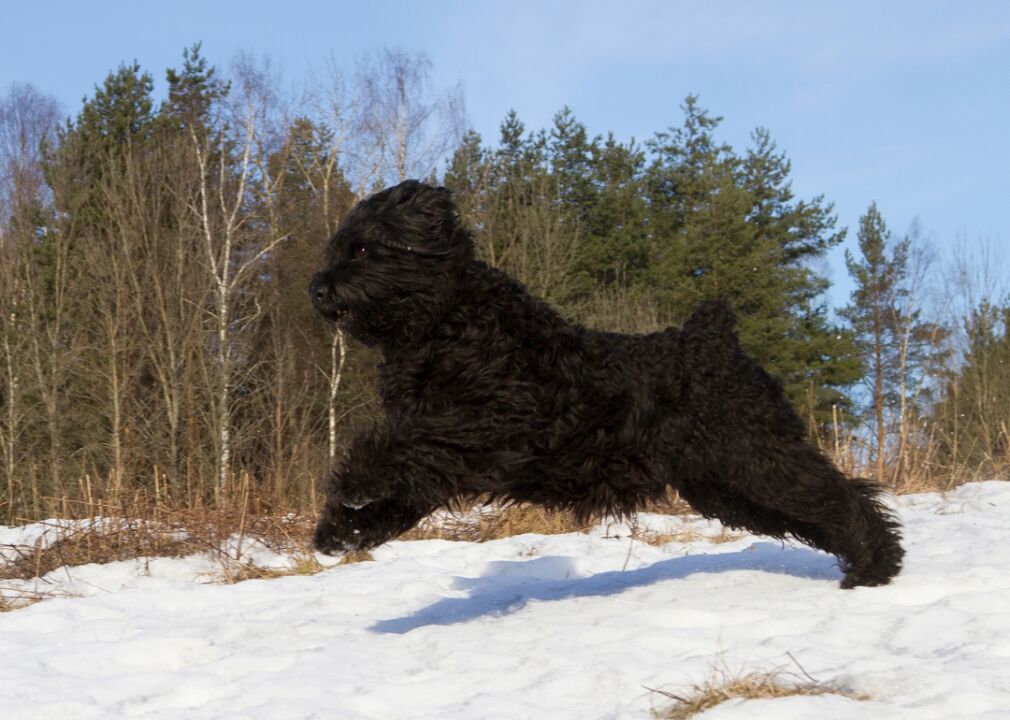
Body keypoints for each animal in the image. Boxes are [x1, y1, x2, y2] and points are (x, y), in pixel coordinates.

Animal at [311, 178, 904, 585]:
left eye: (361, 249)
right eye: (335, 247)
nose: (316, 288)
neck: (446, 323)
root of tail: (717, 337)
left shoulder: (487, 427)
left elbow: (397, 447)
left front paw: (352, 482)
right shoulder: (445, 461)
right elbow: (399, 494)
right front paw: (338, 531)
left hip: (760, 459)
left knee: (842, 497)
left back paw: (876, 565)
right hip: (726, 484)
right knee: (824, 507)